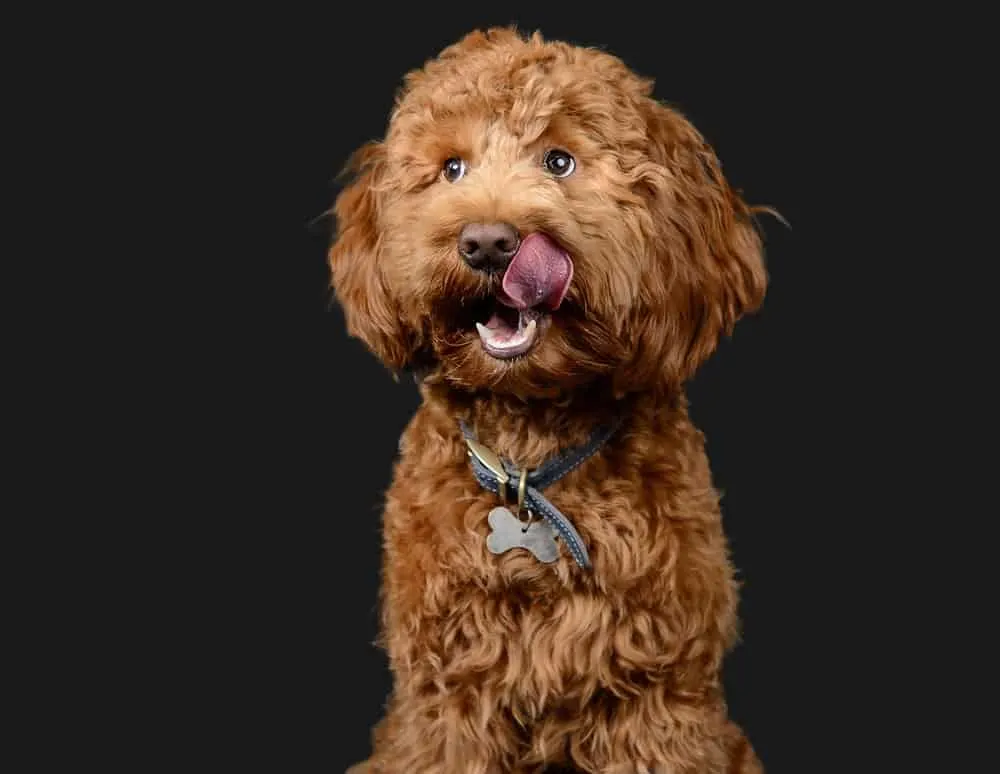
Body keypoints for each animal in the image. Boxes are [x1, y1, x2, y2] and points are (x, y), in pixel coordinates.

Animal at [328, 25, 764, 774]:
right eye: (452, 169)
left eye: (559, 161)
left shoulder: (657, 702)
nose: (487, 243)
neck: (530, 459)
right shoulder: (446, 701)